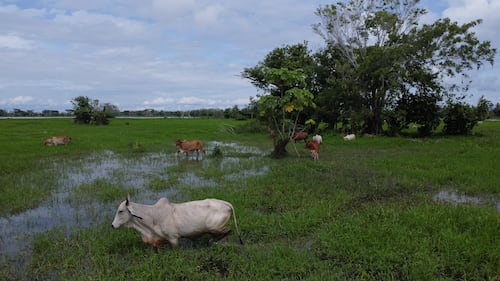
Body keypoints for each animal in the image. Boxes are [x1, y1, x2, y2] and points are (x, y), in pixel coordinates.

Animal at [111, 195, 244, 249]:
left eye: (121, 211)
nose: (112, 225)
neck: (153, 216)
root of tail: (226, 203)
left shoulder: (173, 239)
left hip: (215, 228)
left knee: (228, 231)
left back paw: (213, 242)